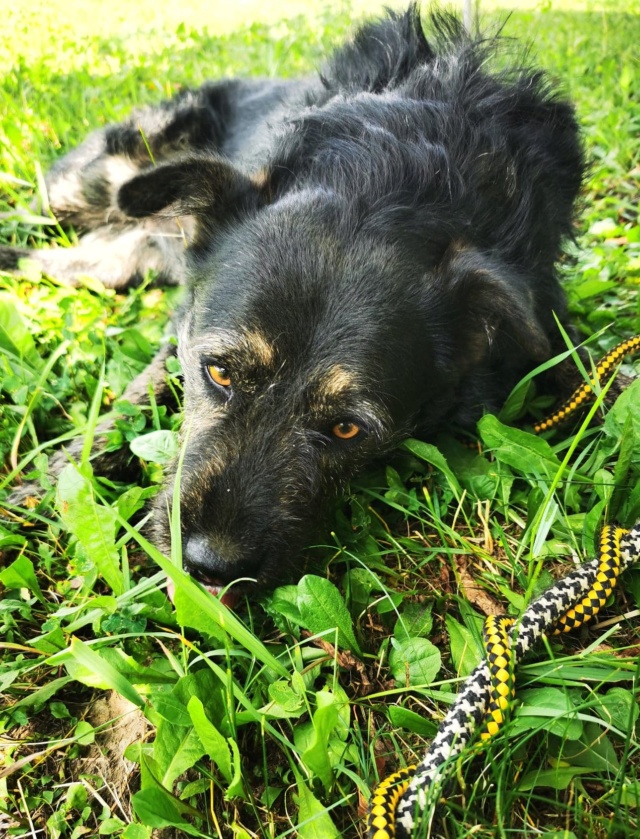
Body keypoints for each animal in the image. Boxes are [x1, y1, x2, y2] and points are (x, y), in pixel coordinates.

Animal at [3, 4, 584, 596]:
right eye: (218, 373)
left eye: (348, 429)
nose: (210, 568)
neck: (396, 179)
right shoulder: (185, 329)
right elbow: (128, 406)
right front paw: (46, 488)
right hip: (83, 187)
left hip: (115, 260)